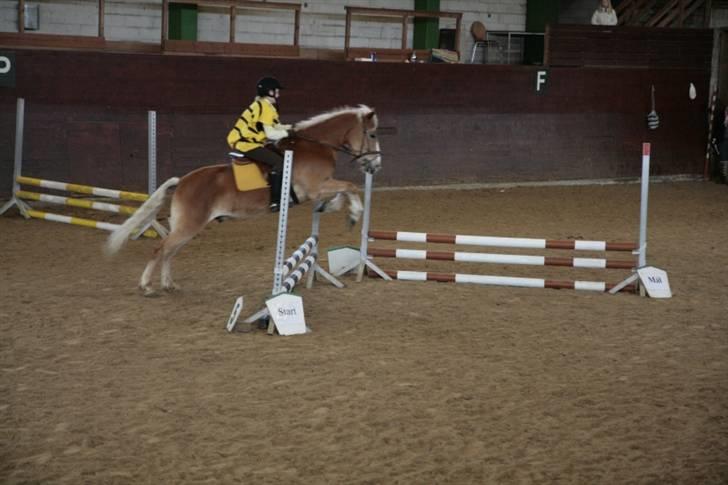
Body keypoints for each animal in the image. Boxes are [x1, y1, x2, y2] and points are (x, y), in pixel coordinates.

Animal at [107, 105, 384, 294]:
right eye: (372, 135)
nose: (376, 165)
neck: (316, 146)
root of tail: (183, 180)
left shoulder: (320, 188)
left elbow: (345, 189)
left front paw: (333, 207)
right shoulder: (315, 188)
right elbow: (351, 187)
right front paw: (352, 214)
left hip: (187, 228)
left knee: (169, 252)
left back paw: (168, 284)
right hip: (188, 226)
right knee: (161, 249)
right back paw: (147, 286)